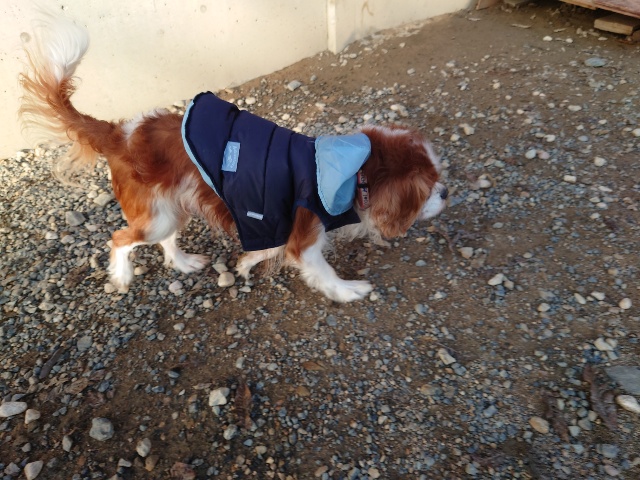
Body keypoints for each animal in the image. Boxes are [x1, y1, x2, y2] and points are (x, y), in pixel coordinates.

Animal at [19, 10, 448, 303]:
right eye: (430, 189)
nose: (447, 195)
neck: (345, 171)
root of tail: (121, 134)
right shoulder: (305, 239)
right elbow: (322, 271)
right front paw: (348, 289)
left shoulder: (274, 223)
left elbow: (265, 248)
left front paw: (245, 263)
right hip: (155, 216)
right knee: (121, 238)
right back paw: (122, 276)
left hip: (173, 206)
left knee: (166, 242)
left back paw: (184, 263)